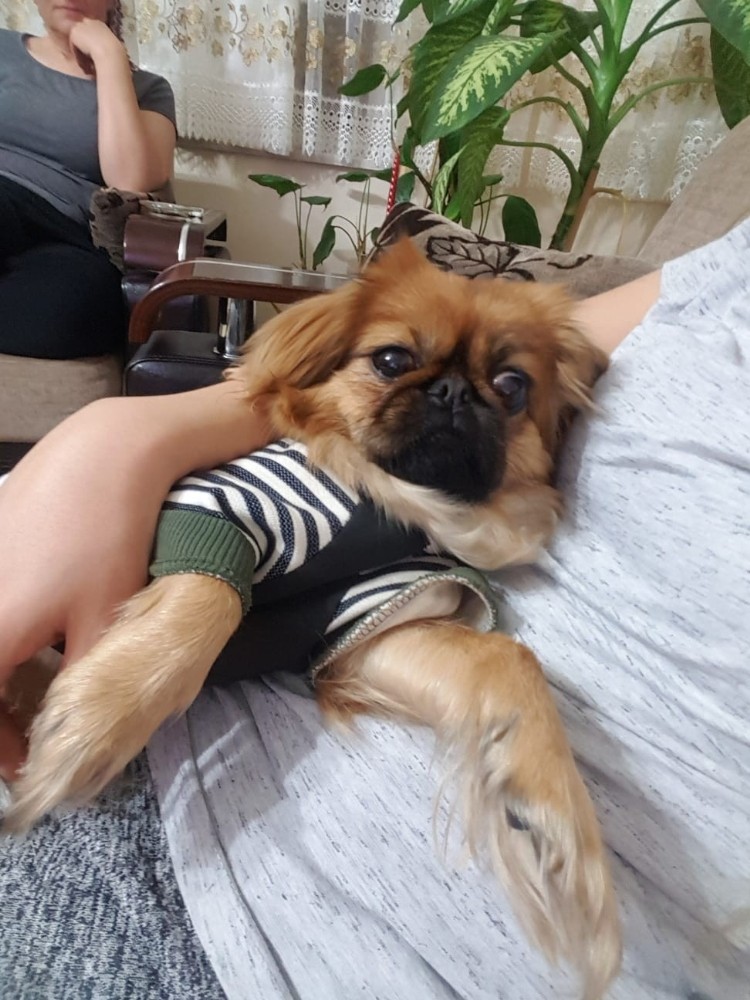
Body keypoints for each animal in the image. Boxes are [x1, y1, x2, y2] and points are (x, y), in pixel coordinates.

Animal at [4, 239, 619, 998]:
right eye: (391, 360)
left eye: (511, 386)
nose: (452, 392)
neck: (391, 504)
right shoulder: (210, 502)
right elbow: (214, 596)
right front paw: (97, 724)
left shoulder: (371, 620)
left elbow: (509, 661)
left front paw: (546, 820)